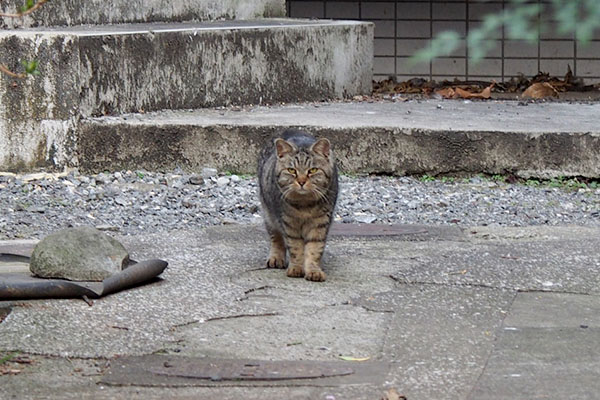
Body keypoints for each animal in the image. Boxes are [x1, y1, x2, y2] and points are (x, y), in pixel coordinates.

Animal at [256, 129, 338, 282]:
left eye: (312, 170)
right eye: (291, 170)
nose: (301, 181)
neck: (305, 205)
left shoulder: (320, 223)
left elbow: (314, 248)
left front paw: (313, 270)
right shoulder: (289, 224)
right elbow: (295, 247)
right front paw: (296, 268)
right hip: (268, 213)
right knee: (276, 237)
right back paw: (276, 258)